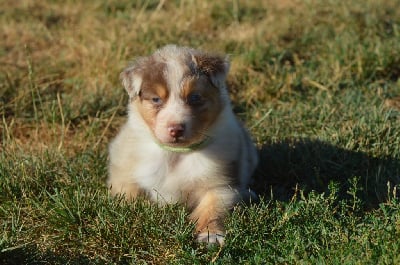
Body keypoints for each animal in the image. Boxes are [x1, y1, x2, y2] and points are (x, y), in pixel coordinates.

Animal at [108, 44, 260, 244]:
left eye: (194, 97)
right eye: (156, 99)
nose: (176, 129)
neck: (176, 153)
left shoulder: (220, 183)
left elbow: (213, 209)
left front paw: (211, 235)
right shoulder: (125, 171)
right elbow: (128, 195)